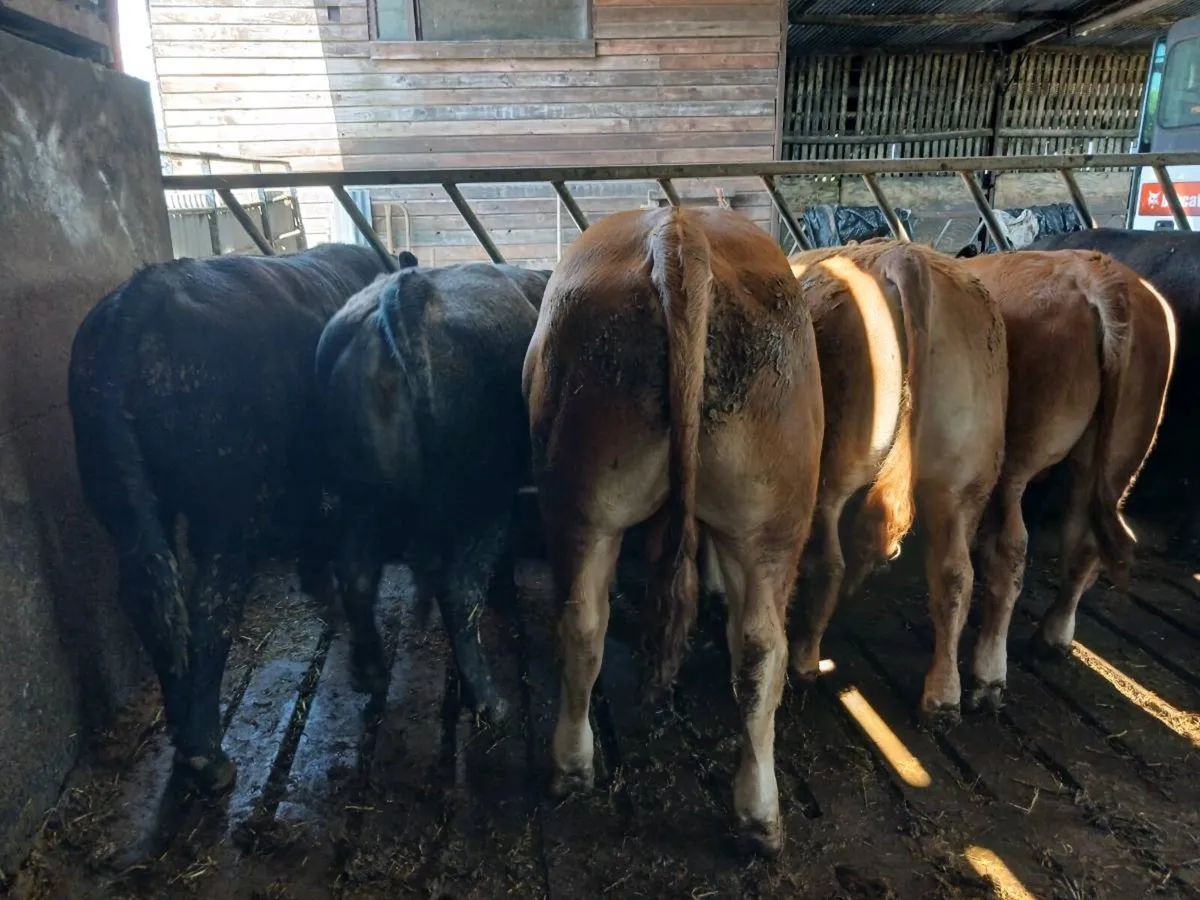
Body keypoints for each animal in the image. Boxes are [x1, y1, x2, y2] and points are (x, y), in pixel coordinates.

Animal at [68, 243, 397, 794]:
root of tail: (146, 290)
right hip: (223, 509)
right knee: (211, 603)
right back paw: (206, 755)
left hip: (118, 497)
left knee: (149, 597)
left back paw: (183, 731)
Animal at [314, 261, 550, 724]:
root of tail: (407, 289)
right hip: (481, 494)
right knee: (459, 587)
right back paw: (491, 703)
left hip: (363, 499)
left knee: (356, 573)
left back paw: (370, 673)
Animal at [783, 240, 1009, 727]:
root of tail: (905, 258)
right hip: (962, 480)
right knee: (954, 574)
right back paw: (943, 696)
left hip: (839, 461)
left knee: (831, 558)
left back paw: (805, 658)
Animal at [960, 250, 1176, 703]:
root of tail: (1100, 275)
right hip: (1117, 453)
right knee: (1085, 539)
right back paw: (1054, 636)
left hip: (1015, 458)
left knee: (1008, 550)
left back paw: (987, 673)